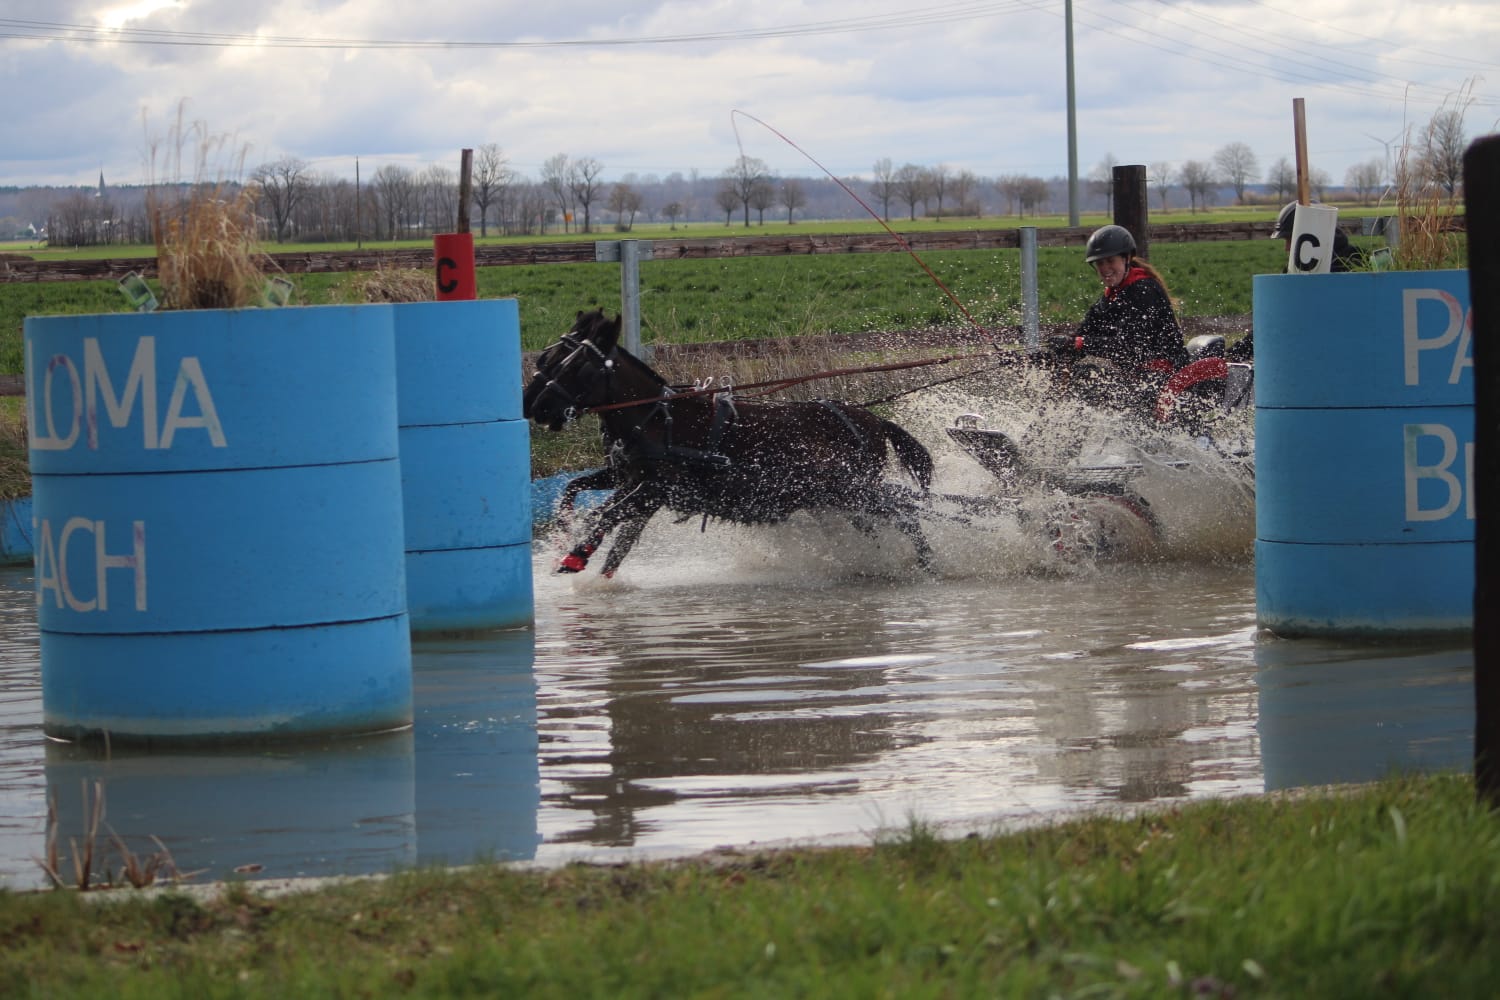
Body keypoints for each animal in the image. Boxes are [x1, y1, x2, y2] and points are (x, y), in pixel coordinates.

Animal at [522, 313, 930, 578]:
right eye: (548, 357)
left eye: (573, 366)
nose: (532, 405)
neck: (655, 417)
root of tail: (873, 420)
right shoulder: (632, 479)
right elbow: (579, 494)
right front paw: (569, 537)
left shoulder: (657, 487)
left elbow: (603, 516)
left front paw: (575, 556)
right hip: (838, 499)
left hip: (855, 492)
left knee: (907, 517)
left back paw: (926, 565)